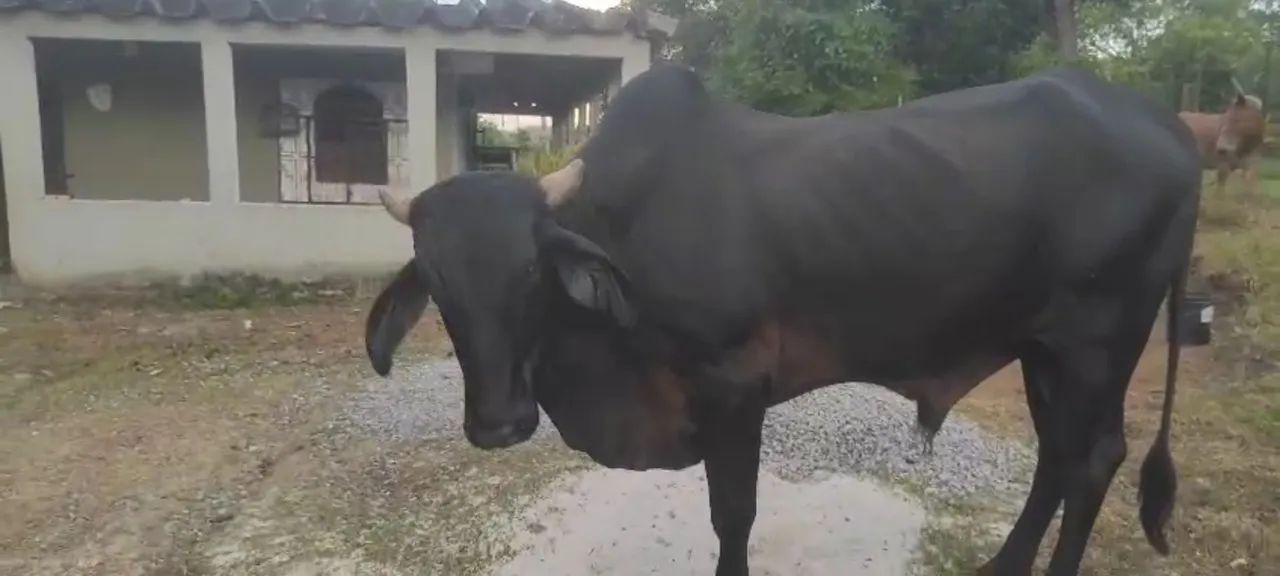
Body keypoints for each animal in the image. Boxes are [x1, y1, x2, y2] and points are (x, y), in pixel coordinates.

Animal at [365, 64, 1202, 576]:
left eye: (532, 269)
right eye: (436, 282)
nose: (499, 423)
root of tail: (1171, 125)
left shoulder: (734, 384)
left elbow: (733, 514)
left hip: (1100, 343)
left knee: (1093, 459)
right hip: (1042, 348)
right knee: (1058, 455)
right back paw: (1002, 563)